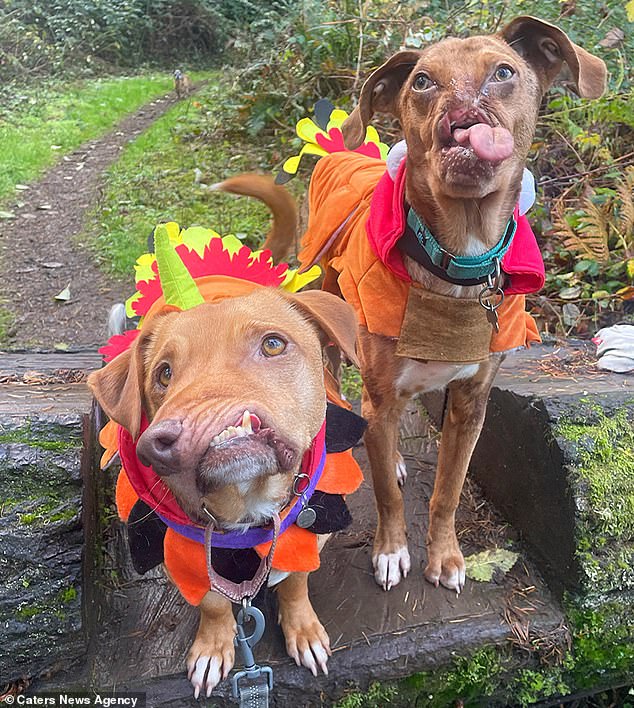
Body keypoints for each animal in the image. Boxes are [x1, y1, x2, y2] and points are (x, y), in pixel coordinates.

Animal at [87, 288, 360, 696]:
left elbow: (296, 582)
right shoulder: (186, 559)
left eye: (273, 344)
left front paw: (304, 630)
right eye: (163, 374)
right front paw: (213, 647)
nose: (165, 438)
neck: (247, 504)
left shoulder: (309, 536)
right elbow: (213, 603)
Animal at [218, 16, 608, 592]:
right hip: (329, 307)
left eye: (504, 72)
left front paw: (444, 555)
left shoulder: (470, 405)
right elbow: (384, 493)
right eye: (422, 81)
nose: (462, 116)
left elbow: (448, 491)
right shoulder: (379, 399)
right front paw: (390, 550)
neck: (457, 260)